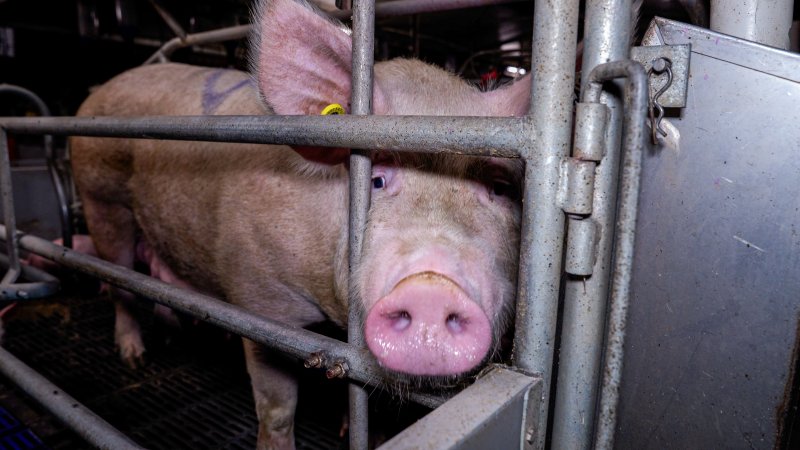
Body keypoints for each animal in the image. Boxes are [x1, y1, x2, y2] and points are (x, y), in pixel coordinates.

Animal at [70, 0, 532, 448]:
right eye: (377, 179)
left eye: (499, 187)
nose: (432, 289)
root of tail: (100, 92)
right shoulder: (259, 300)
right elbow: (276, 406)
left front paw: (356, 429)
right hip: (99, 196)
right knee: (119, 279)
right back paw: (135, 356)